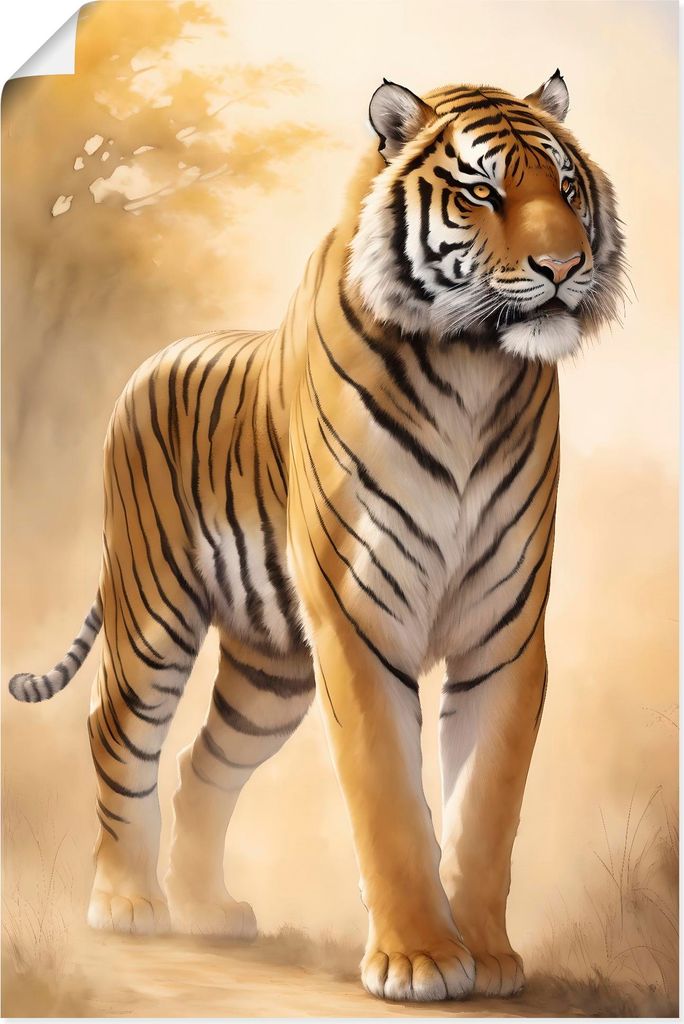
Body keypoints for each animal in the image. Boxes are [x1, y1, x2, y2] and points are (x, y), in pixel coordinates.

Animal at [8, 71, 625, 1002]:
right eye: (483, 191)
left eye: (566, 188)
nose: (566, 267)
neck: (474, 366)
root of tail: (150, 361)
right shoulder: (358, 619)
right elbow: (389, 797)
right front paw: (419, 959)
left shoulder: (506, 629)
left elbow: (487, 805)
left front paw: (490, 959)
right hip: (151, 612)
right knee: (115, 732)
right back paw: (126, 902)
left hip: (270, 674)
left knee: (201, 768)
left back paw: (206, 909)